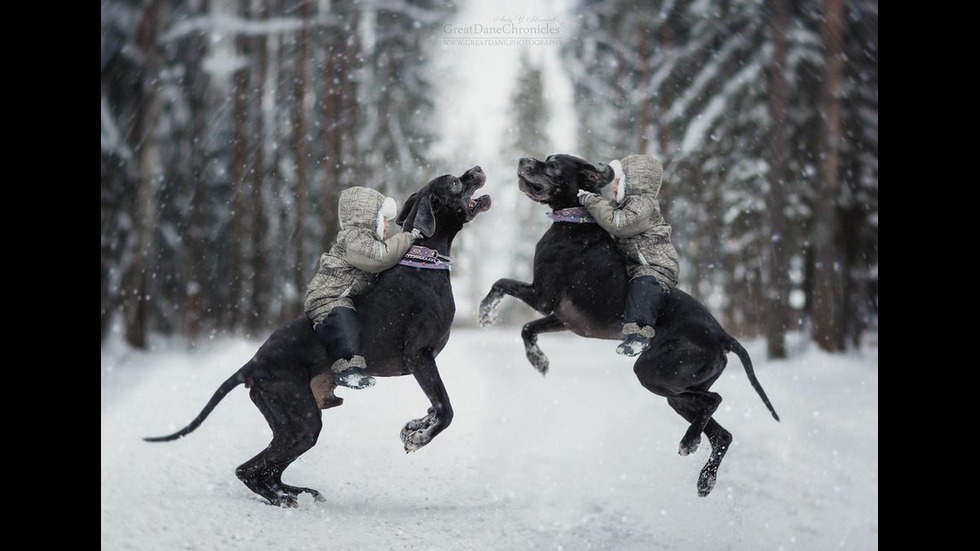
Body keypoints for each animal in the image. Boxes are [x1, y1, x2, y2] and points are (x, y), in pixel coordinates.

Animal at [145, 166, 490, 506]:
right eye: (455, 182)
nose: (476, 169)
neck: (424, 261)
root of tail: (252, 363)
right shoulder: (419, 356)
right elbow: (446, 409)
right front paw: (419, 438)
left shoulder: (423, 363)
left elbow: (435, 407)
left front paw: (415, 427)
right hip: (302, 419)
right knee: (249, 470)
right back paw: (285, 500)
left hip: (293, 423)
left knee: (268, 470)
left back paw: (297, 493)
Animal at [478, 154, 776, 496]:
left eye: (552, 164)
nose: (523, 159)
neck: (575, 223)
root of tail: (722, 334)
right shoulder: (563, 319)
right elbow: (528, 329)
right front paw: (538, 360)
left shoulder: (542, 297)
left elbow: (501, 283)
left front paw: (486, 312)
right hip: (677, 393)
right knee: (720, 432)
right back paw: (705, 476)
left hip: (655, 373)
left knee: (715, 401)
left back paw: (689, 442)